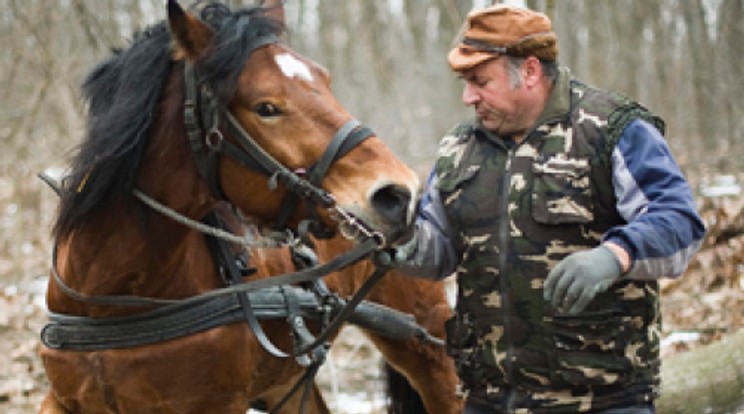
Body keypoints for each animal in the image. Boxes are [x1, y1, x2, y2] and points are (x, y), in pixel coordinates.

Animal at [40, 0, 462, 414]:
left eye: (325, 81)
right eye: (266, 108)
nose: (398, 195)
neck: (116, 295)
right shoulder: (64, 400)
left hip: (427, 343)